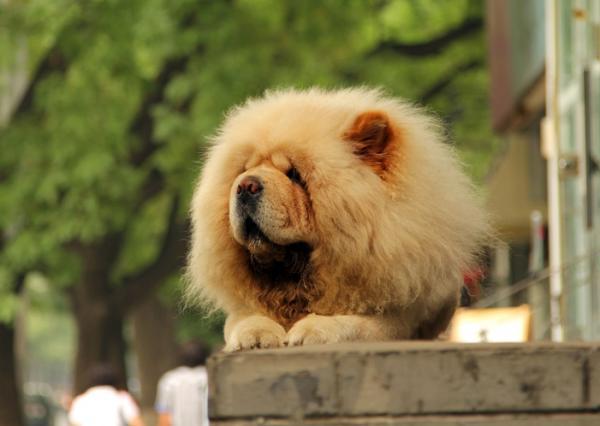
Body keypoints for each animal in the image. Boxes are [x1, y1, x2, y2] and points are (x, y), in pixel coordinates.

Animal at [188, 88, 488, 352]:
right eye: (244, 170)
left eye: (295, 175)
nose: (246, 185)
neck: (296, 276)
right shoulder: (244, 309)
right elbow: (244, 320)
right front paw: (256, 335)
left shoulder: (397, 317)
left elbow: (354, 323)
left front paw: (312, 329)